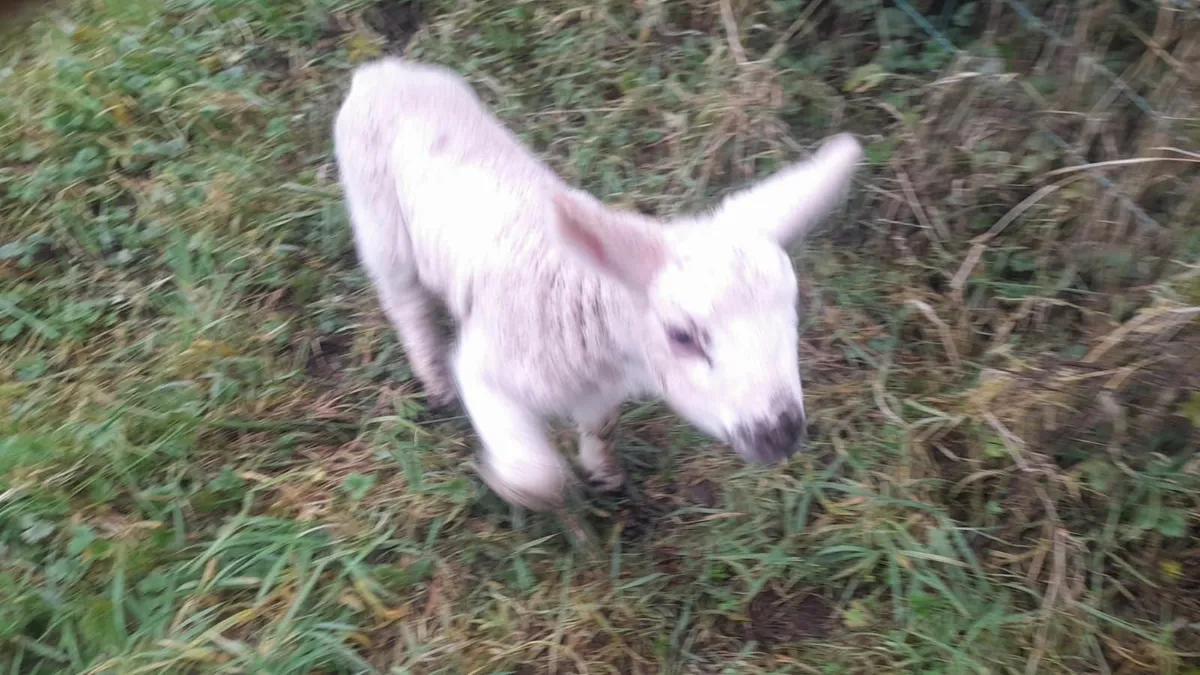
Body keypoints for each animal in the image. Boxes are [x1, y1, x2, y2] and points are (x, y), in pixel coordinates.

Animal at [333, 57, 863, 510]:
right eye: (682, 336)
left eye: (793, 310)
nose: (782, 433)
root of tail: (380, 72)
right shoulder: (488, 368)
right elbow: (539, 476)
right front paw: (510, 483)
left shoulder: (604, 386)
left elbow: (601, 426)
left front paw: (603, 473)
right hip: (377, 220)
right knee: (404, 300)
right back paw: (434, 379)